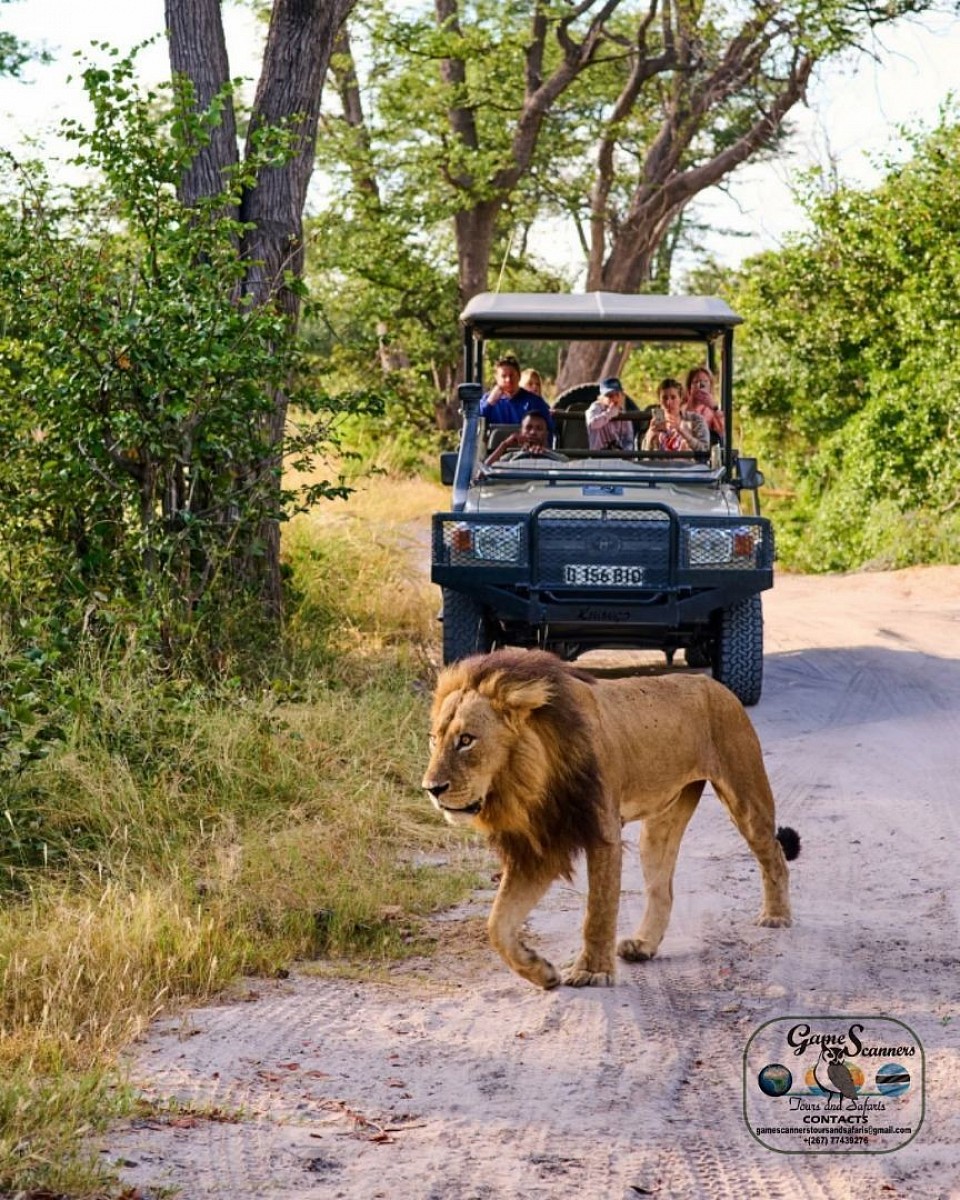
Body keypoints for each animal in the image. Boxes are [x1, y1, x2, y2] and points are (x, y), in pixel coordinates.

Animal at [422, 648, 799, 989]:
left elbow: (599, 910)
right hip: (660, 825)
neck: (529, 779)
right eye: (434, 740)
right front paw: (540, 971)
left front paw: (592, 972)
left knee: (774, 855)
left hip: (745, 796)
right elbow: (497, 924)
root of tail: (713, 684)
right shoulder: (539, 846)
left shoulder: (602, 833)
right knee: (662, 889)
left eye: (466, 740)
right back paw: (643, 945)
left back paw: (776, 916)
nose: (431, 789)